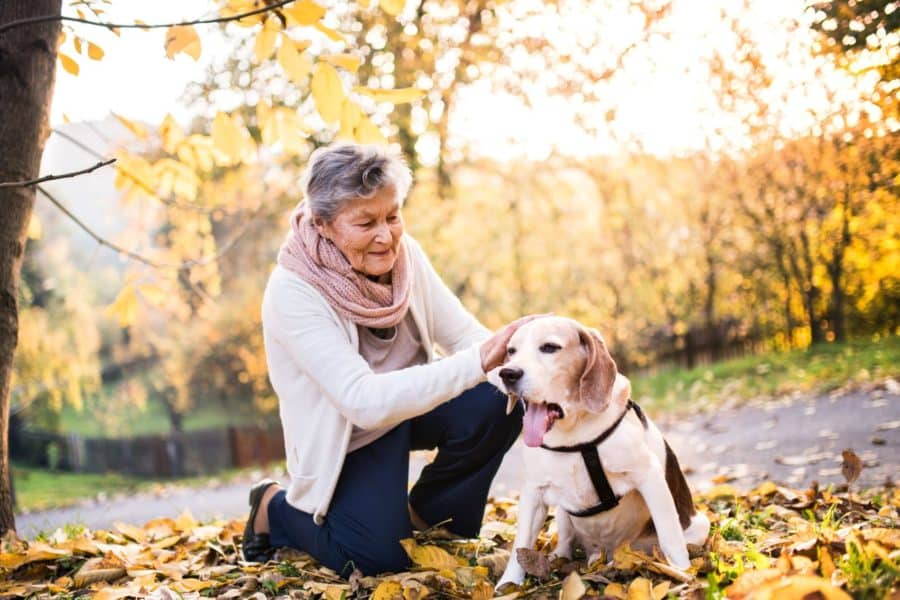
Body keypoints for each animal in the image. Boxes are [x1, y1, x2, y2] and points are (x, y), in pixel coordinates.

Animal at [496, 316, 708, 588]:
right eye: (511, 351)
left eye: (550, 347)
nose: (507, 373)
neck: (575, 436)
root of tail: (603, 554)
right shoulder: (533, 491)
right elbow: (520, 544)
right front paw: (509, 584)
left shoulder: (649, 477)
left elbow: (670, 536)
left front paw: (682, 574)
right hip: (563, 514)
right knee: (565, 542)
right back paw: (557, 559)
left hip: (697, 527)